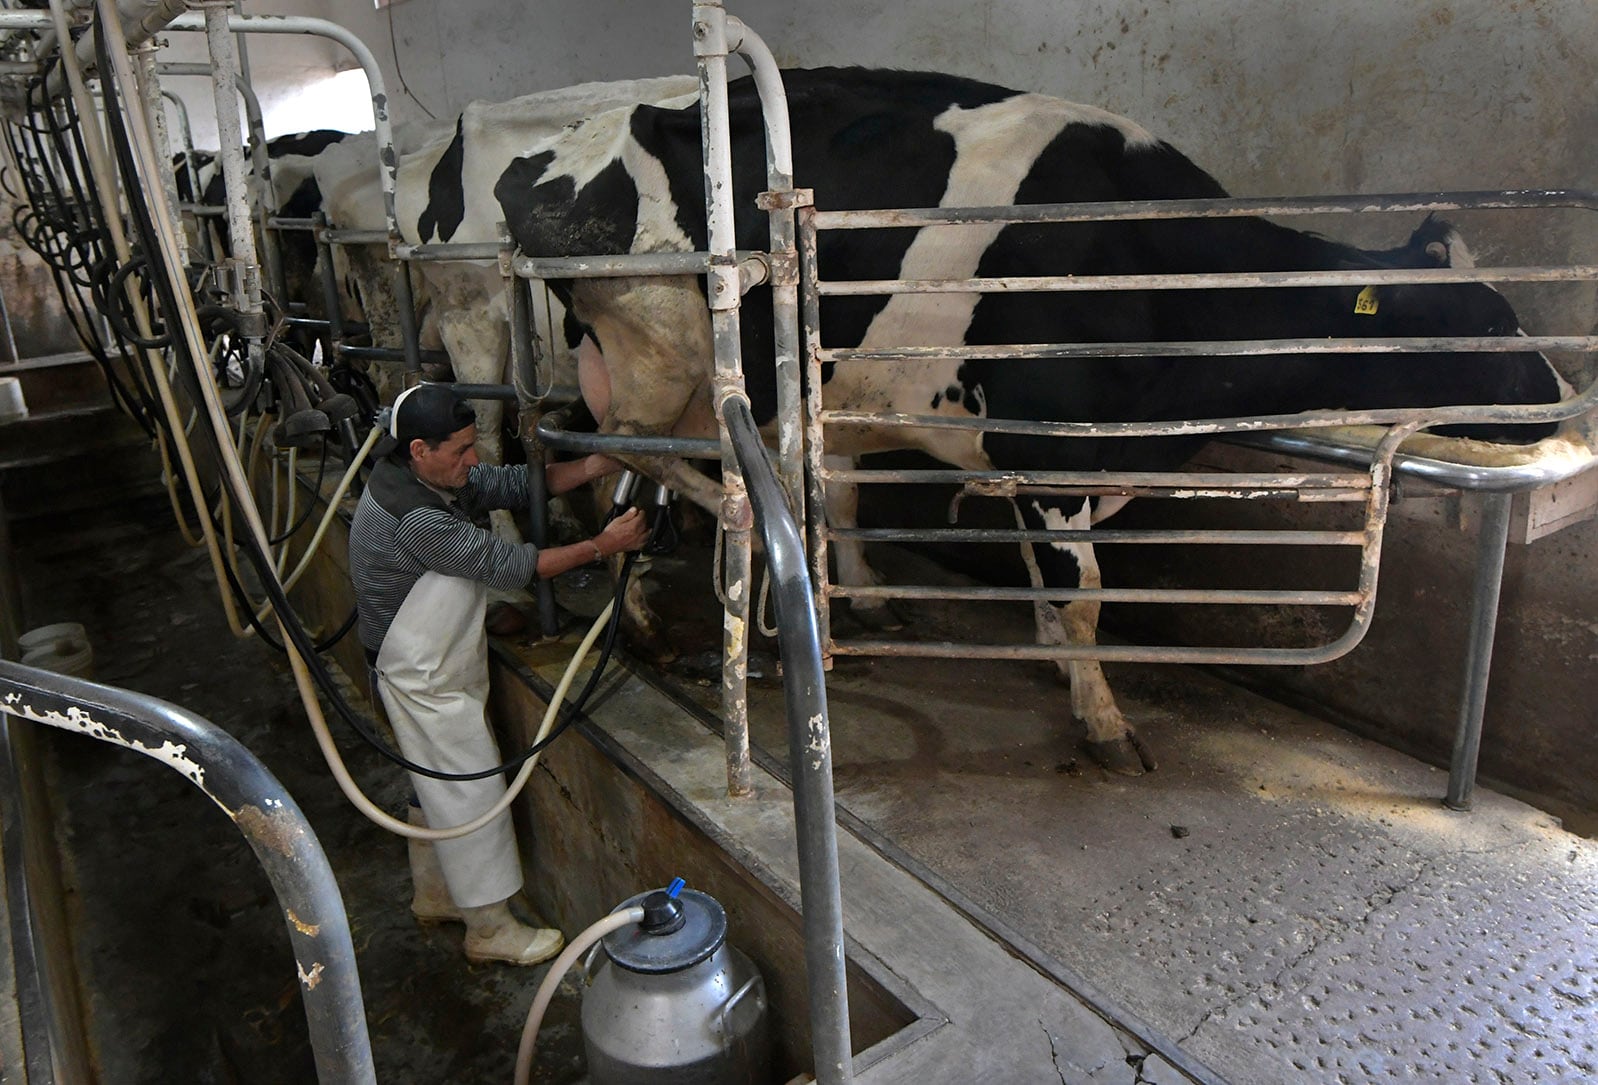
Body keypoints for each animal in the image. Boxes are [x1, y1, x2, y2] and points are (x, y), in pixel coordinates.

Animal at [488, 67, 1559, 776]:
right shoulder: (1043, 445)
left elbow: (1055, 579)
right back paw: (695, 589)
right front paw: (1102, 716)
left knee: (667, 478)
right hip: (652, 356)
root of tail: (559, 144)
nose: (1555, 394)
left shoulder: (1049, 455)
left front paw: (1056, 661)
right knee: (618, 465)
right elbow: (1083, 590)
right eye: (1478, 322)